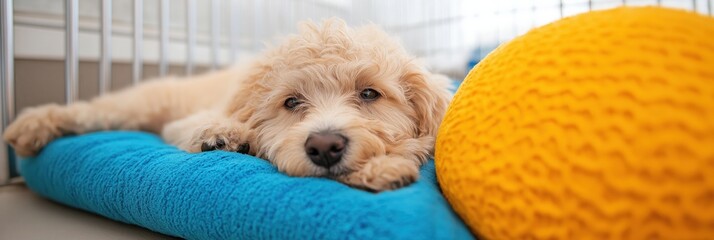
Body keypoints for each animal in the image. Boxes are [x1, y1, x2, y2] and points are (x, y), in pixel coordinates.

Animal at [4, 18, 450, 191]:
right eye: (291, 101)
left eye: (369, 94)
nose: (324, 147)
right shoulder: (190, 120)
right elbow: (207, 127)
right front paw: (224, 135)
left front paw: (383, 165)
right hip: (140, 104)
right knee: (91, 111)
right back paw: (34, 124)